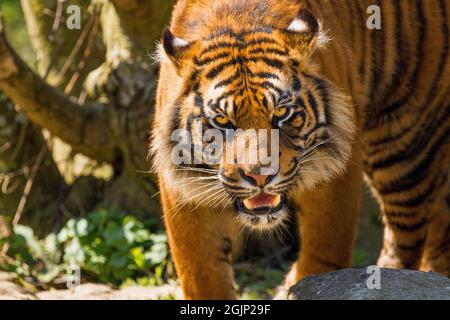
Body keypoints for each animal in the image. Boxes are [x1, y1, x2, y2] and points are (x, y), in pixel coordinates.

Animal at [151, 0, 450, 300]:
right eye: (223, 121)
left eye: (281, 113)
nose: (260, 175)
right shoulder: (184, 193)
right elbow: (203, 275)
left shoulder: (337, 176)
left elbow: (321, 256)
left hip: (403, 146)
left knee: (405, 239)